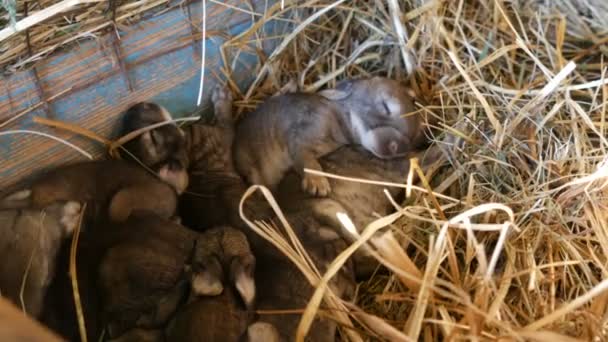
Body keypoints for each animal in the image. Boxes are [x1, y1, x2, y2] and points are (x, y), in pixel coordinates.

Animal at [234, 77, 428, 195]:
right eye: (386, 107)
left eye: (412, 137)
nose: (400, 148)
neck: (338, 115)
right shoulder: (303, 132)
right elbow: (303, 155)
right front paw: (318, 184)